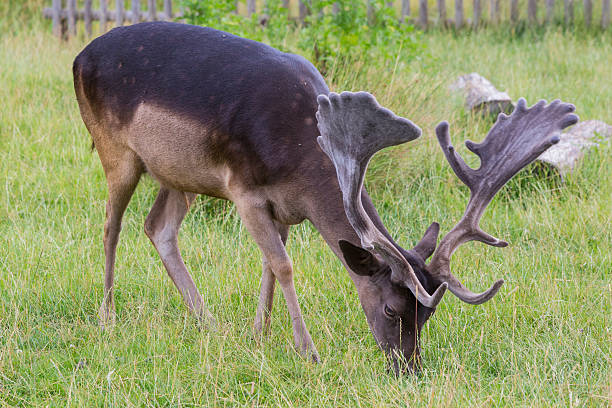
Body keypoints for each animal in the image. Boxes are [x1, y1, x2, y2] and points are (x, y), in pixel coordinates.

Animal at [73, 20, 580, 374]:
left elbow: (268, 264)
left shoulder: (283, 207)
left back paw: (208, 322)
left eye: (427, 316)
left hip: (178, 175)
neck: (303, 159)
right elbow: (283, 265)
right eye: (392, 307)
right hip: (117, 151)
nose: (410, 367)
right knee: (111, 224)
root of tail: (80, 56)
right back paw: (108, 315)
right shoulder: (244, 191)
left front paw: (259, 336)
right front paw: (308, 351)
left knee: (158, 226)